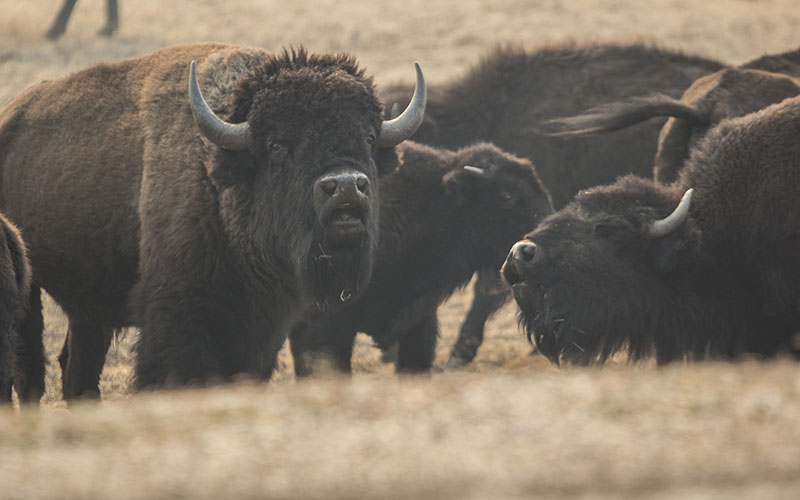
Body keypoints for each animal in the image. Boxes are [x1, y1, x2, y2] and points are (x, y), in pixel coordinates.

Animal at [0, 43, 425, 397]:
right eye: (276, 145)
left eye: (368, 138)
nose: (346, 186)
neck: (220, 186)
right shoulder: (177, 318)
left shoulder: (262, 327)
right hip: (28, 292)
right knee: (29, 368)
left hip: (88, 306)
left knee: (77, 367)